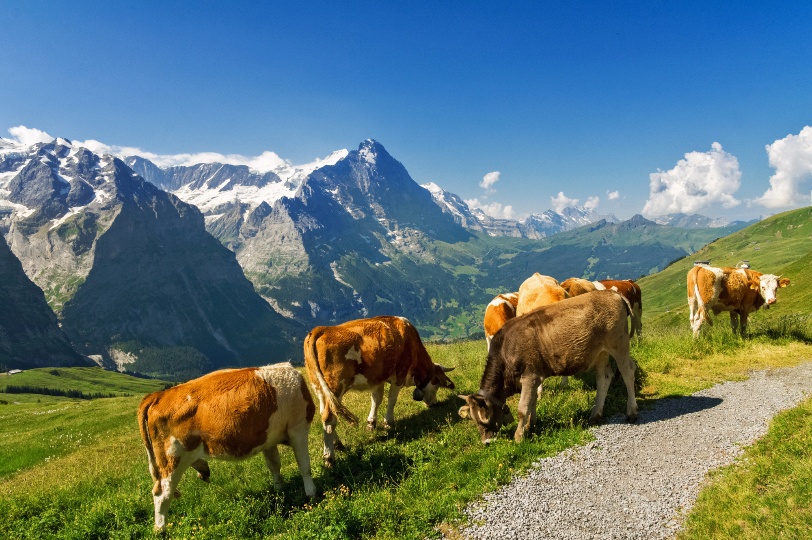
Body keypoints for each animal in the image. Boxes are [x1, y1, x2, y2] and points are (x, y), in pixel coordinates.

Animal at [137, 363, 317, 531]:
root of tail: (158, 395)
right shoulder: (298, 428)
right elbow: (304, 466)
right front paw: (311, 494)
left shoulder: (269, 439)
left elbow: (274, 466)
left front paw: (279, 490)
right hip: (173, 456)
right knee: (162, 492)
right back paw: (160, 529)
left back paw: (203, 468)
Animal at [304, 315, 455, 466]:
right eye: (436, 384)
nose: (434, 404)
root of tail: (322, 329)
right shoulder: (399, 375)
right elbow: (392, 399)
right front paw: (388, 422)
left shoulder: (378, 379)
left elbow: (376, 399)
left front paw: (371, 423)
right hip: (336, 386)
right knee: (329, 418)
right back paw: (329, 457)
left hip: (319, 388)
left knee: (325, 413)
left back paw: (337, 444)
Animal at [458, 290, 639, 443]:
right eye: (473, 419)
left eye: (485, 419)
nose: (486, 441)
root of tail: (615, 294)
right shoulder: (534, 377)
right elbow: (532, 402)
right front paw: (531, 426)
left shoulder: (530, 376)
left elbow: (522, 408)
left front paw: (518, 437)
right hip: (600, 353)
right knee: (604, 378)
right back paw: (595, 415)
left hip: (618, 343)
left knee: (628, 371)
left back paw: (631, 412)